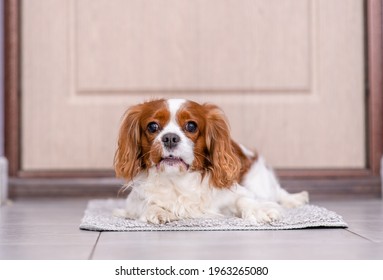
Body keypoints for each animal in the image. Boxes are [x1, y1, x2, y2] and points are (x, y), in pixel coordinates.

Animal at [114, 98, 308, 223]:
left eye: (191, 125)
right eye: (152, 126)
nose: (170, 138)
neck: (178, 180)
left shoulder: (236, 192)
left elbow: (244, 199)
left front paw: (260, 210)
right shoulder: (133, 201)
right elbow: (145, 203)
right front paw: (157, 211)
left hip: (260, 183)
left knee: (276, 192)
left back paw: (295, 199)